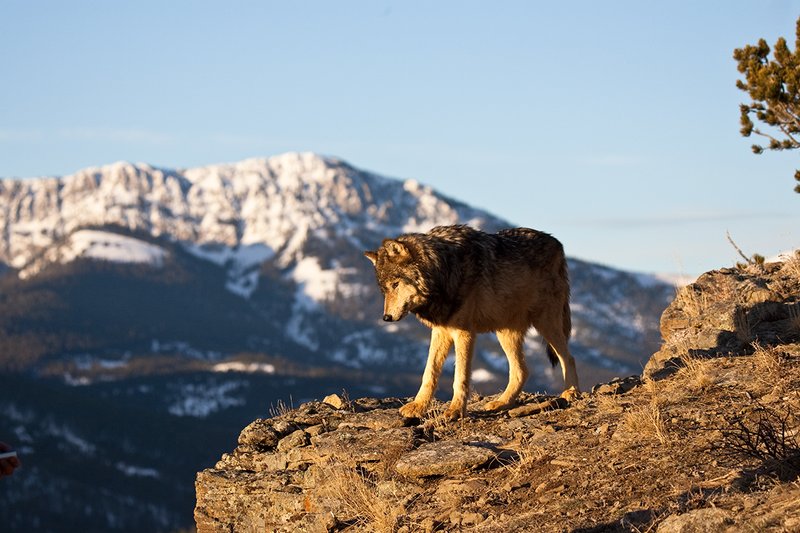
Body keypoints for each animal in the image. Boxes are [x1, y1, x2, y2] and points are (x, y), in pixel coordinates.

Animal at [365, 224, 579, 420]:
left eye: (395, 284)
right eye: (384, 290)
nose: (386, 318)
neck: (444, 270)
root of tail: (558, 244)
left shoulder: (464, 333)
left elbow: (460, 376)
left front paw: (455, 410)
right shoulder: (441, 331)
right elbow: (429, 373)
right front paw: (418, 406)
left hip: (546, 322)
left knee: (568, 357)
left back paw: (571, 392)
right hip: (505, 332)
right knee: (522, 371)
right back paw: (502, 402)